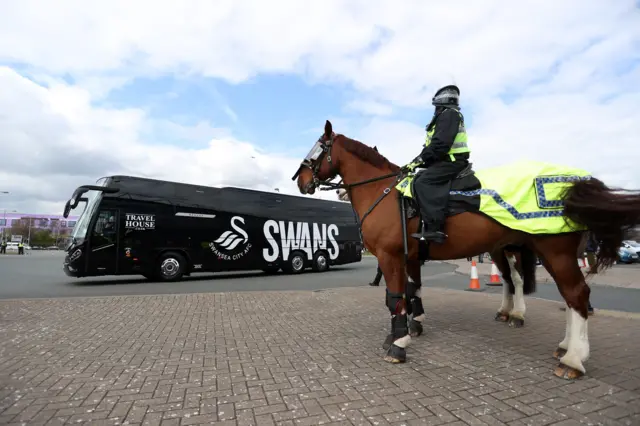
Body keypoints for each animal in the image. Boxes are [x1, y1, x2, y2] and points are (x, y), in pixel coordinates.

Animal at [292, 120, 640, 380]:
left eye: (317, 148)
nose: (301, 179)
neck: (387, 192)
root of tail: (573, 183)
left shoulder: (391, 257)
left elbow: (395, 297)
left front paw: (399, 342)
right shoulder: (411, 256)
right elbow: (412, 291)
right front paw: (413, 326)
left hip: (553, 252)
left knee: (574, 294)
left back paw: (572, 359)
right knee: (550, 292)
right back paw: (557, 341)